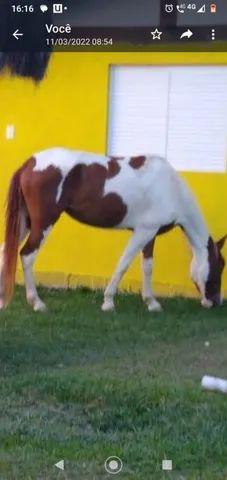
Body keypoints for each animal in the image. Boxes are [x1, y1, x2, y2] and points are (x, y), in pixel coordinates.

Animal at [0, 148, 225, 314]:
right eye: (220, 265)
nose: (215, 302)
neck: (171, 188)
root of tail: (30, 163)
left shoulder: (150, 233)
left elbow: (147, 266)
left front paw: (151, 303)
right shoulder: (142, 232)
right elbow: (123, 263)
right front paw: (108, 302)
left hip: (25, 222)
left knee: (5, 252)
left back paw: (3, 300)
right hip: (43, 223)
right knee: (27, 256)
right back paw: (37, 303)